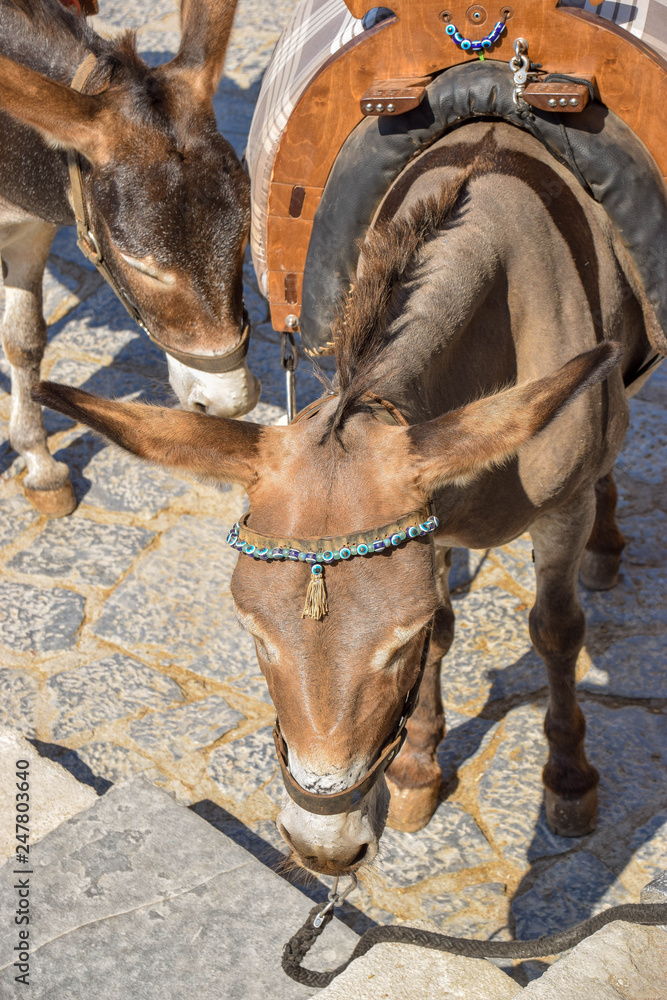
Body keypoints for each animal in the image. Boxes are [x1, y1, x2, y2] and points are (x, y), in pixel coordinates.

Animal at [0, 0, 258, 517]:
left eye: (243, 239)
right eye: (138, 264)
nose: (229, 402)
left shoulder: (30, 228)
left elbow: (24, 340)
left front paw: (39, 464)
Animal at [32, 121, 660, 877]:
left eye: (399, 642)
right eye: (253, 634)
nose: (323, 849)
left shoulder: (558, 511)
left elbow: (556, 630)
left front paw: (567, 780)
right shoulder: (433, 520)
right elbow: (449, 631)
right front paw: (417, 768)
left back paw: (607, 542)